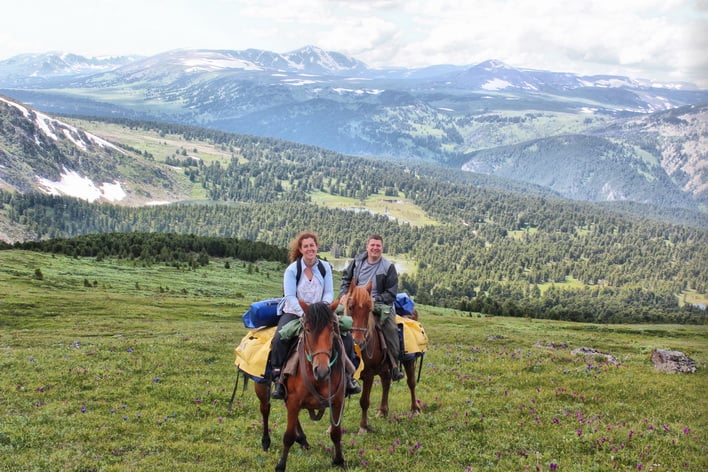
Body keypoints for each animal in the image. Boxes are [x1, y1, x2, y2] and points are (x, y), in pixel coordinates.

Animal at [250, 300, 348, 470]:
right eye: (307, 329)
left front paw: (339, 461)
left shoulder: (337, 402)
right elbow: (288, 436)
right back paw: (266, 441)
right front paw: (281, 465)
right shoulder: (294, 400)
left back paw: (302, 440)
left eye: (332, 329)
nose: (322, 370)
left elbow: (336, 434)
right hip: (262, 387)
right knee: (265, 410)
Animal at [342, 282, 420, 434]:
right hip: (385, 367)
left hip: (408, 360)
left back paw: (414, 409)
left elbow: (364, 401)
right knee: (386, 382)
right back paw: (383, 411)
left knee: (411, 383)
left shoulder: (368, 374)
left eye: (369, 309)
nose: (358, 341)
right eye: (350, 307)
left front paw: (363, 427)